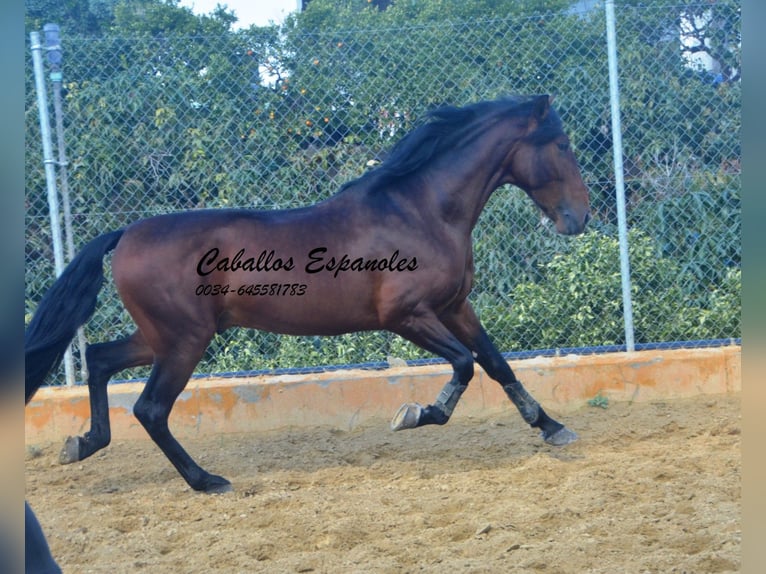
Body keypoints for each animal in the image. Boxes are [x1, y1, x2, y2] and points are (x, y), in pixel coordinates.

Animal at [27, 94, 592, 496]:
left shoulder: (454, 306)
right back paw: (206, 481)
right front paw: (414, 415)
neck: (420, 210)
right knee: (149, 409)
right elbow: (463, 364)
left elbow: (496, 362)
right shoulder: (405, 315)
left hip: (163, 337)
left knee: (100, 359)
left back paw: (82, 443)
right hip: (184, 340)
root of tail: (126, 233)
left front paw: (552, 426)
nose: (580, 218)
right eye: (562, 145)